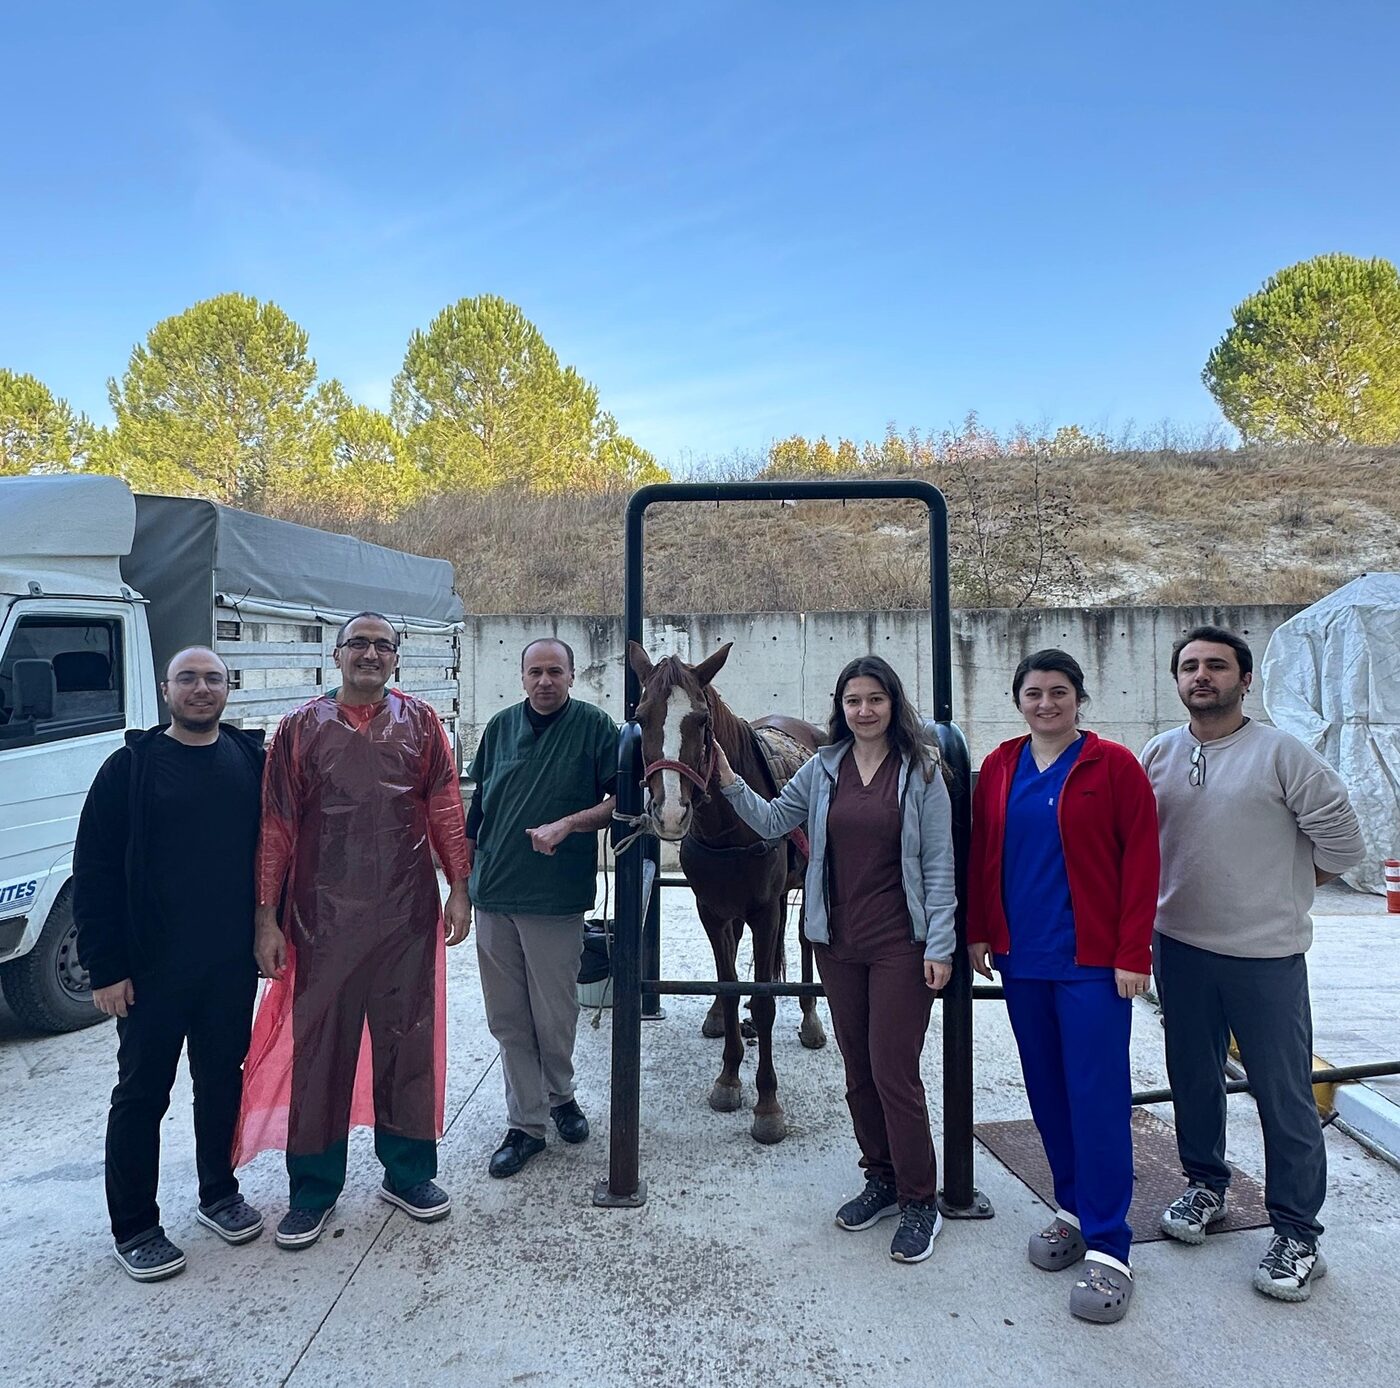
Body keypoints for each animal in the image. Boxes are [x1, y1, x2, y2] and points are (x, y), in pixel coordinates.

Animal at [627, 647, 828, 1142]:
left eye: (701, 720)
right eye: (640, 716)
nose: (671, 812)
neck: (730, 825)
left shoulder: (765, 910)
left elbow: (764, 998)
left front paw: (768, 1104)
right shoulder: (712, 910)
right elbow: (731, 982)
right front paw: (728, 1078)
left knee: (803, 940)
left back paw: (811, 1018)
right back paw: (721, 1017)